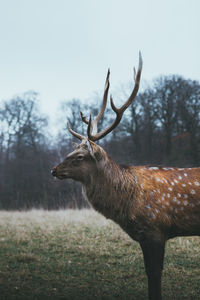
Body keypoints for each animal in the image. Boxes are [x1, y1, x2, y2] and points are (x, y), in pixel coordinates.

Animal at [50, 52, 200, 298]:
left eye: (80, 156)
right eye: (72, 151)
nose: (53, 170)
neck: (127, 204)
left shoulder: (155, 229)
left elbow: (154, 275)